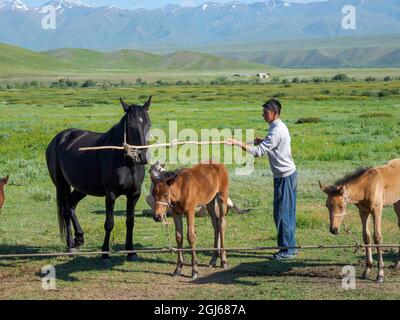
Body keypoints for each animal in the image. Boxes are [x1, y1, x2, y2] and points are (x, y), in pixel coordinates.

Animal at [46, 96, 152, 262]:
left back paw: (79, 238)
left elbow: (130, 222)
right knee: (66, 210)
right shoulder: (111, 194)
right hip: (61, 185)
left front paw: (131, 252)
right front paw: (105, 253)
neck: (127, 163)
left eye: (148, 123)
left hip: (81, 187)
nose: (142, 156)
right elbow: (109, 223)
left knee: (71, 205)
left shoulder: (134, 194)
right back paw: (70, 245)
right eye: (130, 126)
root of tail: (58, 138)